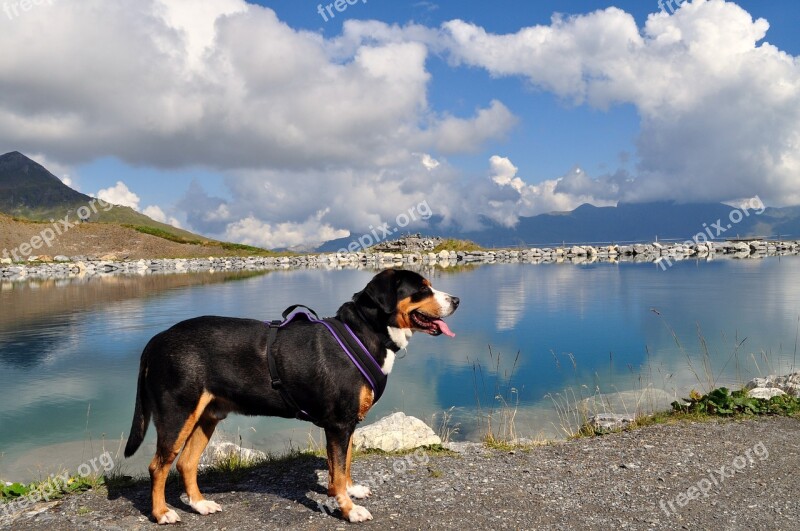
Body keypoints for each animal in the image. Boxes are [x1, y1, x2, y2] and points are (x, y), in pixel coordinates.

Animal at [122, 268, 460, 524]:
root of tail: (156, 341)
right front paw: (348, 510)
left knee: (186, 464)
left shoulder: (346, 424)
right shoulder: (339, 424)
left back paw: (199, 504)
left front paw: (349, 492)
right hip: (177, 415)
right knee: (158, 467)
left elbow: (343, 465)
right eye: (421, 289)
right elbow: (339, 471)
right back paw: (162, 513)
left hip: (206, 417)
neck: (364, 333)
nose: (456, 299)